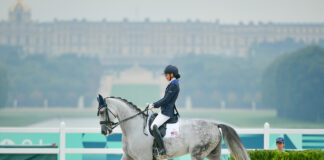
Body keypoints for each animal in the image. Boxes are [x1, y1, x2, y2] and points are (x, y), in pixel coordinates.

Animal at [97, 95, 251, 159]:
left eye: (102, 112)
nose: (104, 131)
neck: (133, 128)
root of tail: (214, 124)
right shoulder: (128, 156)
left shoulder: (144, 157)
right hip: (213, 153)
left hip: (197, 153)